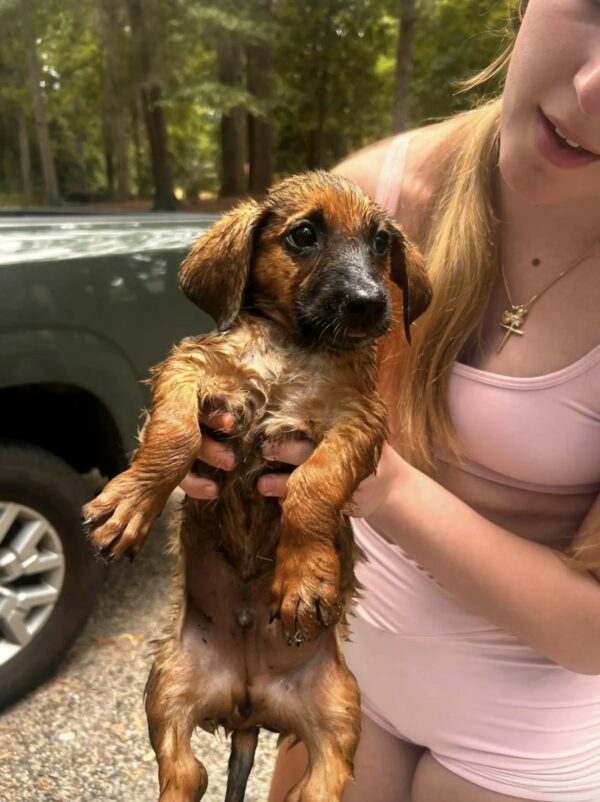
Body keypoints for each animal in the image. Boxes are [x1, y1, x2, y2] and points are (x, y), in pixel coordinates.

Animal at [83, 170, 432, 800]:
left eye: (380, 244)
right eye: (304, 235)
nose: (370, 304)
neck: (293, 347)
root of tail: (249, 704)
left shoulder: (357, 420)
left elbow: (314, 483)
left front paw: (304, 579)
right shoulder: (189, 367)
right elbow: (173, 433)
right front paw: (130, 504)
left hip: (340, 707)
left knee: (316, 786)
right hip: (167, 681)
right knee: (185, 773)